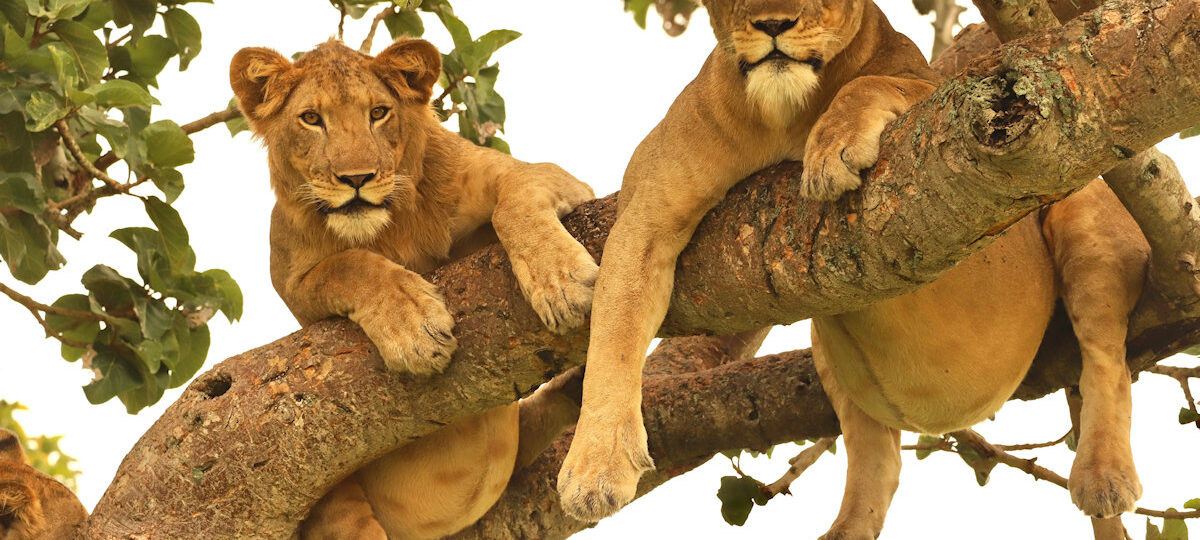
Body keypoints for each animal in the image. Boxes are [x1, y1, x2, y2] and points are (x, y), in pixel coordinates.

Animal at [230, 39, 596, 539]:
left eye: (378, 112)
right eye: (311, 119)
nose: (357, 178)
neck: (389, 228)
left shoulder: (527, 175)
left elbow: (516, 201)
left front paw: (562, 282)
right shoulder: (294, 286)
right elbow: (347, 265)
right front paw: (415, 330)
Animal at [557, 1, 1149, 537]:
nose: (773, 24)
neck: (783, 113)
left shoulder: (952, 117)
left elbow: (877, 84)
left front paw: (832, 147)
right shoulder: (645, 221)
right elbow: (614, 329)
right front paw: (596, 467)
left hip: (1083, 212)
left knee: (1106, 360)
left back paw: (1104, 475)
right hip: (836, 352)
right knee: (878, 456)